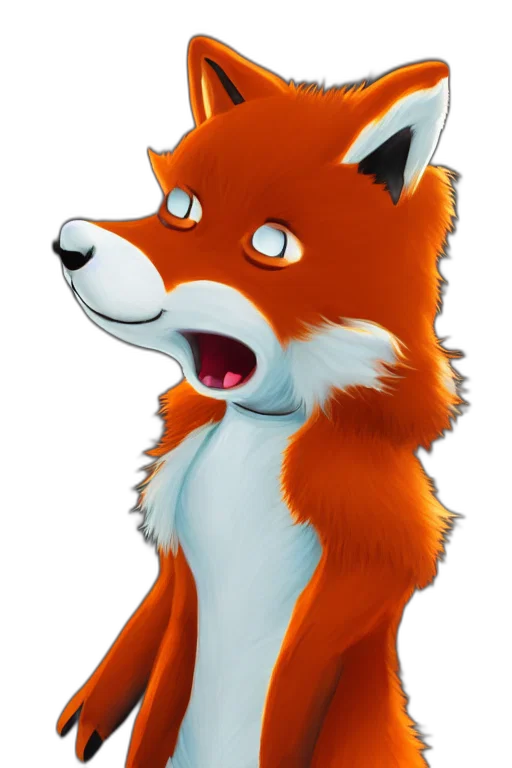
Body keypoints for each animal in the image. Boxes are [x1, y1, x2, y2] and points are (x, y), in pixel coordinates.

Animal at [54, 38, 460, 768]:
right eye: (179, 207)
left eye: (271, 245)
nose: (72, 244)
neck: (258, 437)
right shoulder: (177, 571)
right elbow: (149, 621)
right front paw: (90, 714)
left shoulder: (373, 552)